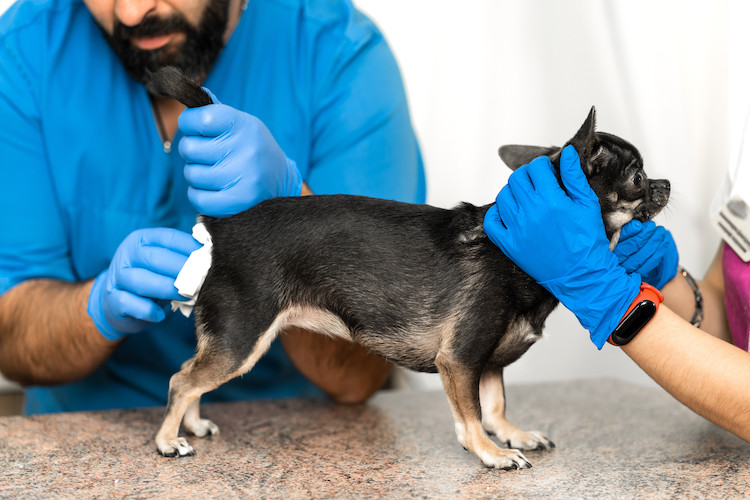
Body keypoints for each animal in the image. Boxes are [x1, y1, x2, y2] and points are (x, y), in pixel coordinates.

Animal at [145, 67, 668, 468]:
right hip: (241, 340)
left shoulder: (488, 361)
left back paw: (193, 423)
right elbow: (472, 417)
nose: (665, 184)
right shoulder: (459, 360)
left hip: (231, 343)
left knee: (190, 375)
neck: (516, 251)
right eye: (638, 177)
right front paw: (491, 453)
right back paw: (168, 440)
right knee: (180, 379)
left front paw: (512, 434)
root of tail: (221, 227)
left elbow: (496, 404)